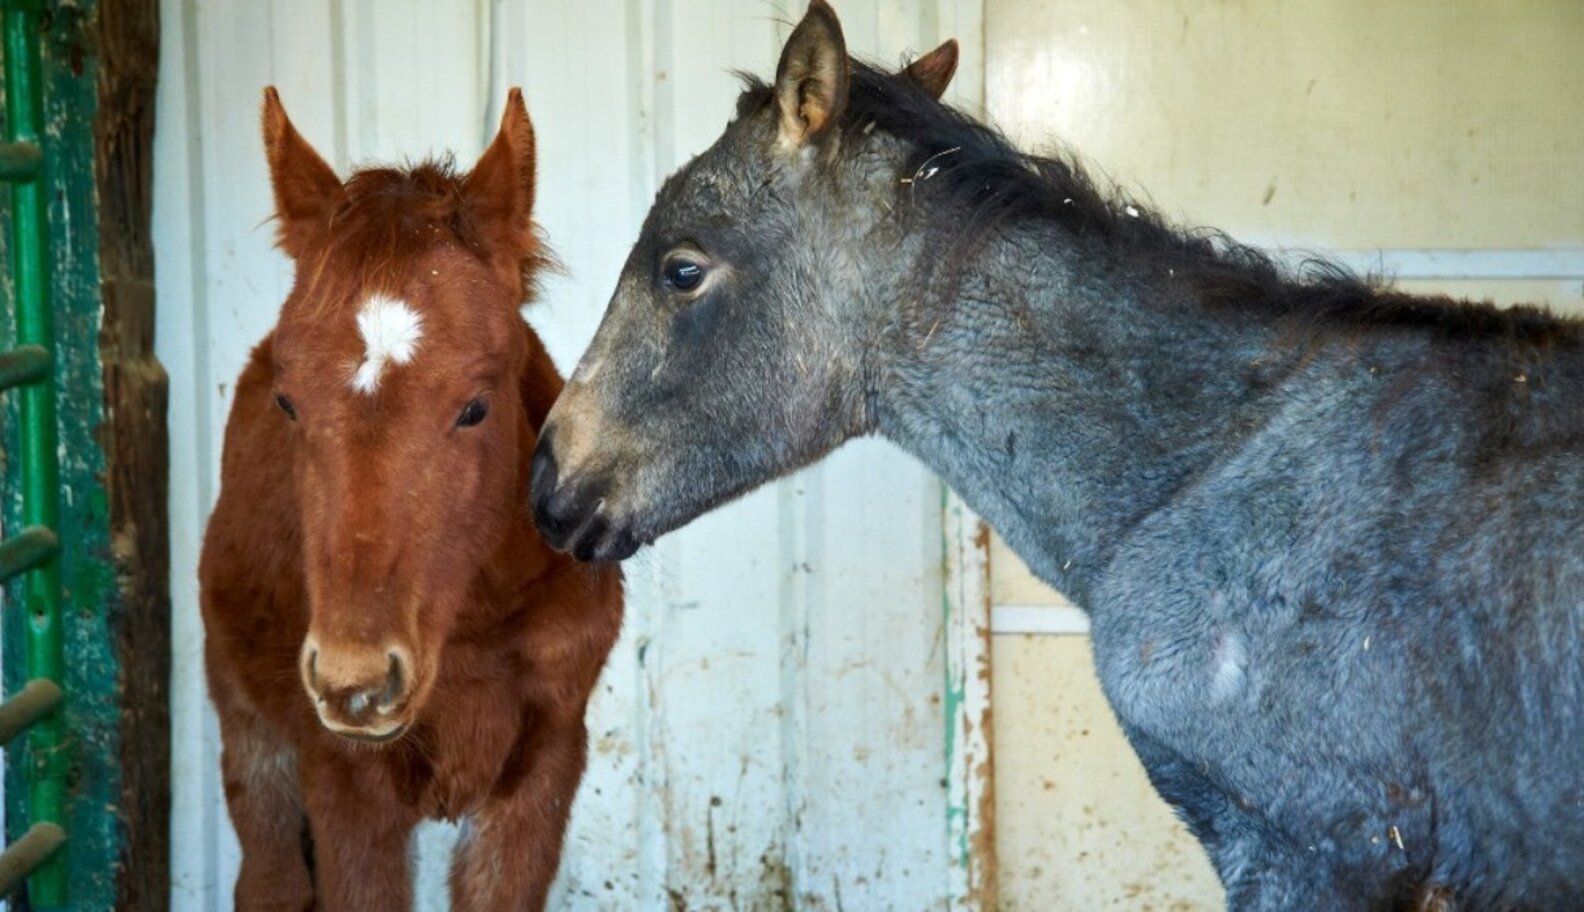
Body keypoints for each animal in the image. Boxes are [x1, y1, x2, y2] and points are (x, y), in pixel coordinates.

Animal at [198, 87, 622, 911]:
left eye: (476, 407)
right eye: (289, 403)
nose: (355, 681)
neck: (472, 623)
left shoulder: (542, 775)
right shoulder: (345, 787)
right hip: (248, 728)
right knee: (269, 879)